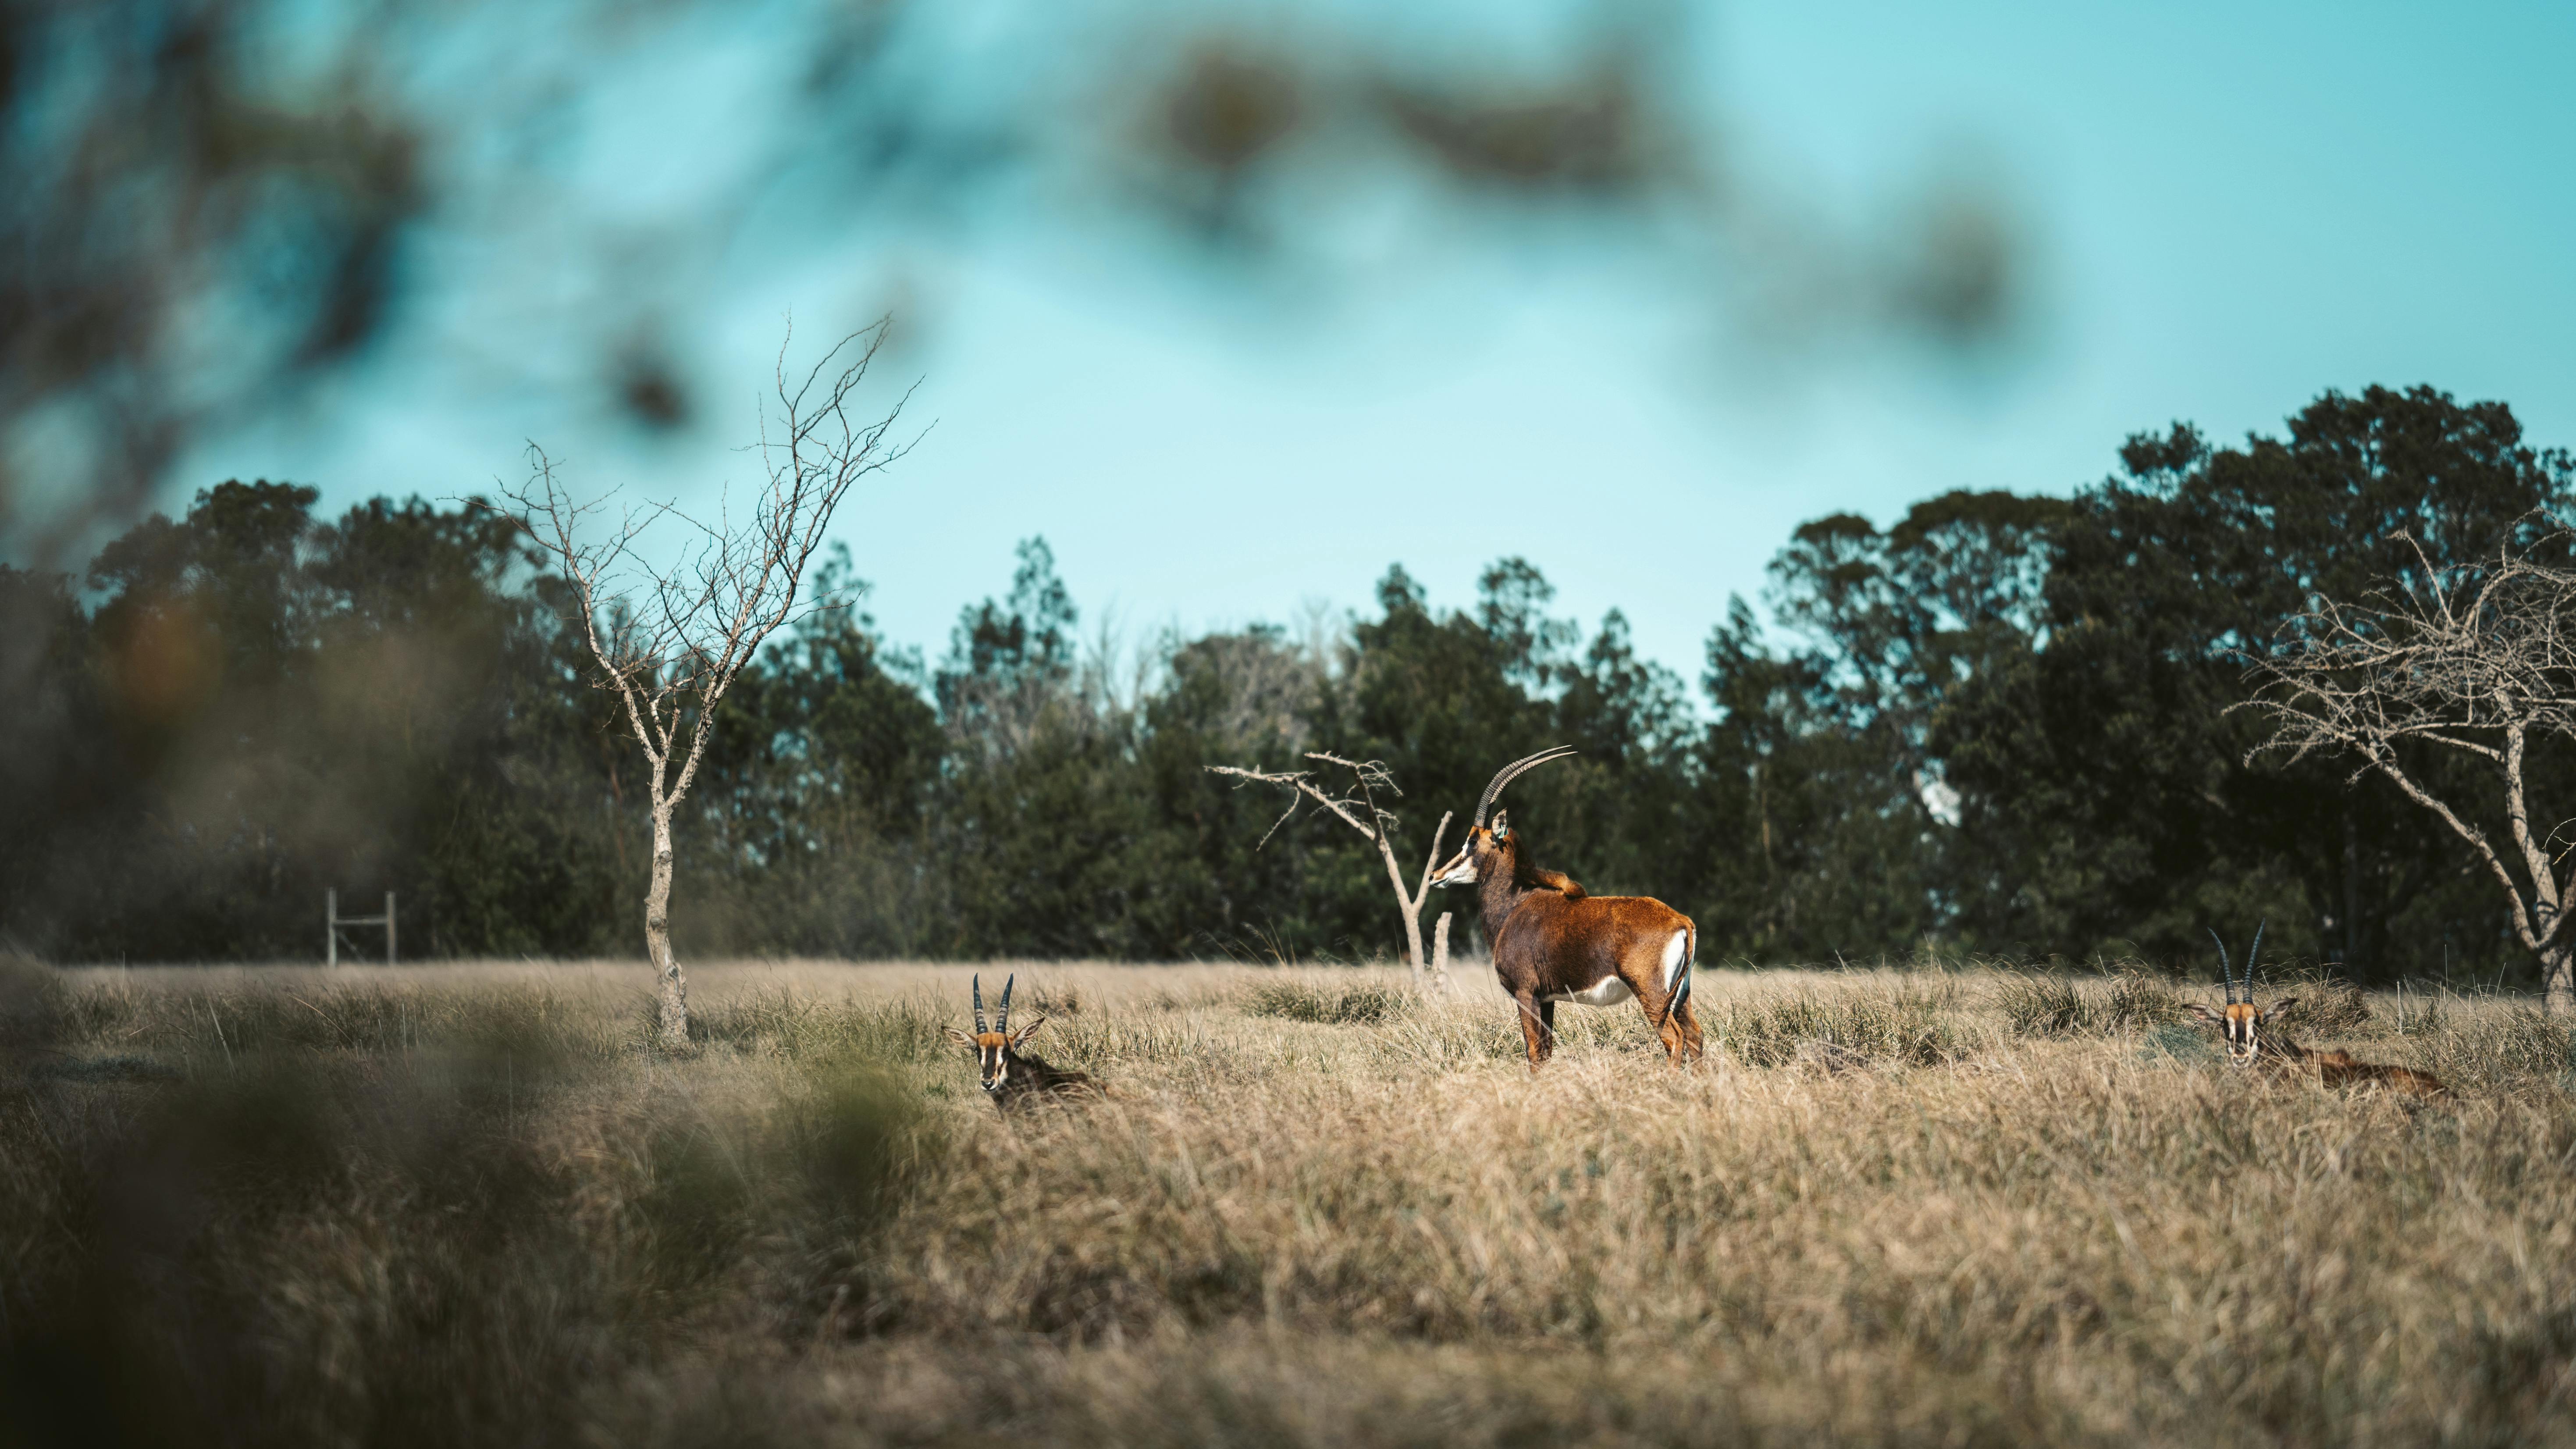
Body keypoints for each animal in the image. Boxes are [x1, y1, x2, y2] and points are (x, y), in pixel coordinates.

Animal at [1422, 748, 1700, 1067]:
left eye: (1471, 841)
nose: (1435, 875)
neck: (1515, 906)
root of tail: (1682, 922)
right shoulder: (1548, 999)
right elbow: (1546, 1050)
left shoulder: (1525, 993)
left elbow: (1533, 1050)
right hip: (1679, 997)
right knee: (1695, 1035)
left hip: (1652, 995)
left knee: (1675, 1038)